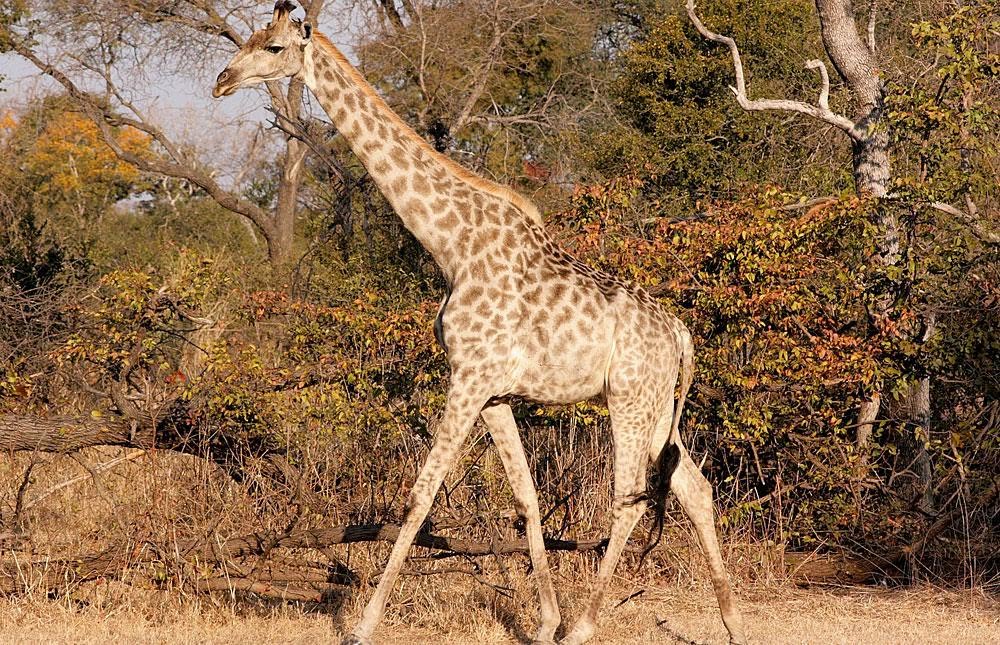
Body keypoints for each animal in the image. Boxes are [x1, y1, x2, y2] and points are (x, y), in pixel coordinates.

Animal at [213, 3, 746, 644]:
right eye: (250, 38)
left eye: (272, 47)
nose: (221, 81)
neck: (452, 244)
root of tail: (681, 335)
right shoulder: (494, 392)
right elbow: (526, 498)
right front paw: (542, 622)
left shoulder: (467, 377)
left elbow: (419, 497)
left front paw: (363, 625)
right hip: (661, 405)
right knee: (694, 487)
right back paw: (731, 620)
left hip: (629, 399)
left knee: (630, 497)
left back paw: (586, 625)